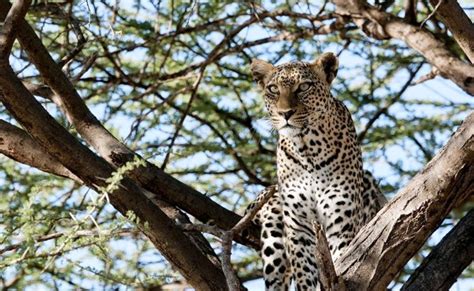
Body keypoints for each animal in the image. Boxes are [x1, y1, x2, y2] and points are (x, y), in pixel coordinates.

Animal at [246, 53, 386, 290]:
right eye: (273, 89)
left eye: (304, 86)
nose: (285, 113)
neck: (308, 149)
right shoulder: (298, 226)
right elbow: (304, 273)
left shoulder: (341, 224)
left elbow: (341, 260)